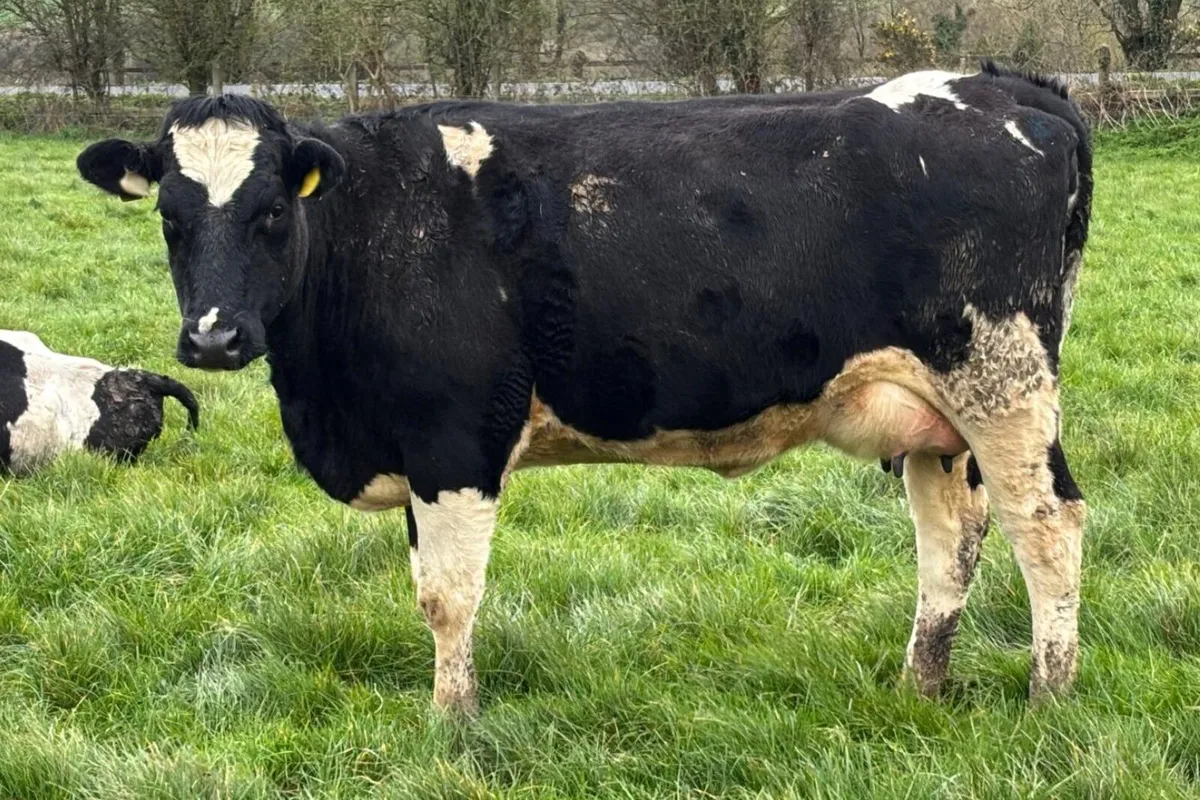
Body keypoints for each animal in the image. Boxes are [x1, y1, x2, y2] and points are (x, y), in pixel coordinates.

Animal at [76, 60, 1092, 715]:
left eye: (272, 213)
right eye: (171, 217)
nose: (214, 337)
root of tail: (1008, 86)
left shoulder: (456, 437)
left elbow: (447, 596)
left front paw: (451, 725)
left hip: (1004, 384)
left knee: (1048, 527)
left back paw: (1047, 696)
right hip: (937, 420)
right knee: (950, 540)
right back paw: (923, 687)